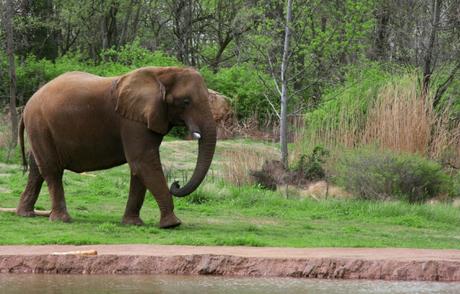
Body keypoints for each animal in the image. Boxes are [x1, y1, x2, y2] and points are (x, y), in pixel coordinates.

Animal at [14, 66, 216, 227]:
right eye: (186, 102)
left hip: (40, 129)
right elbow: (143, 162)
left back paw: (25, 214)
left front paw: (133, 224)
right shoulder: (132, 122)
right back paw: (62, 219)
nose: (176, 183)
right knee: (52, 169)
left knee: (36, 169)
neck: (162, 72)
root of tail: (28, 104)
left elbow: (139, 168)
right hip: (40, 124)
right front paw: (172, 225)